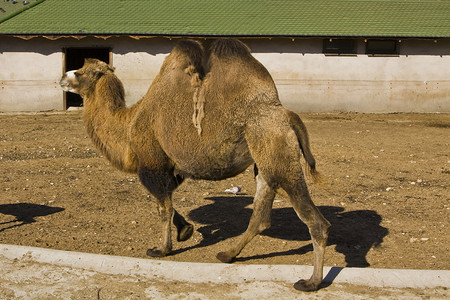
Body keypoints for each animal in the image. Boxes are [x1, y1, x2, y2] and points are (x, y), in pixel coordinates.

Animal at [59, 38, 330, 290]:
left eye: (80, 72)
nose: (62, 77)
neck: (128, 125)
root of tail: (287, 116)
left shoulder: (152, 162)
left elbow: (163, 208)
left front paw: (162, 249)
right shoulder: (172, 168)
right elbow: (168, 202)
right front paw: (186, 230)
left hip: (278, 153)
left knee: (316, 221)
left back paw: (311, 282)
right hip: (263, 162)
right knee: (260, 216)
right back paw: (227, 254)